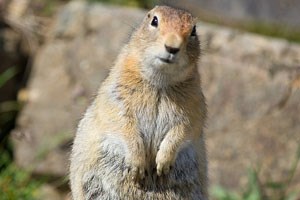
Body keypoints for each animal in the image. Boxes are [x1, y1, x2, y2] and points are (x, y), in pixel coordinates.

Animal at [69, 5, 207, 200]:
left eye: (194, 30)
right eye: (154, 20)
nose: (172, 47)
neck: (160, 82)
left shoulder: (195, 107)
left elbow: (183, 130)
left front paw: (162, 164)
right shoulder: (116, 97)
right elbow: (123, 125)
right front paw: (138, 165)